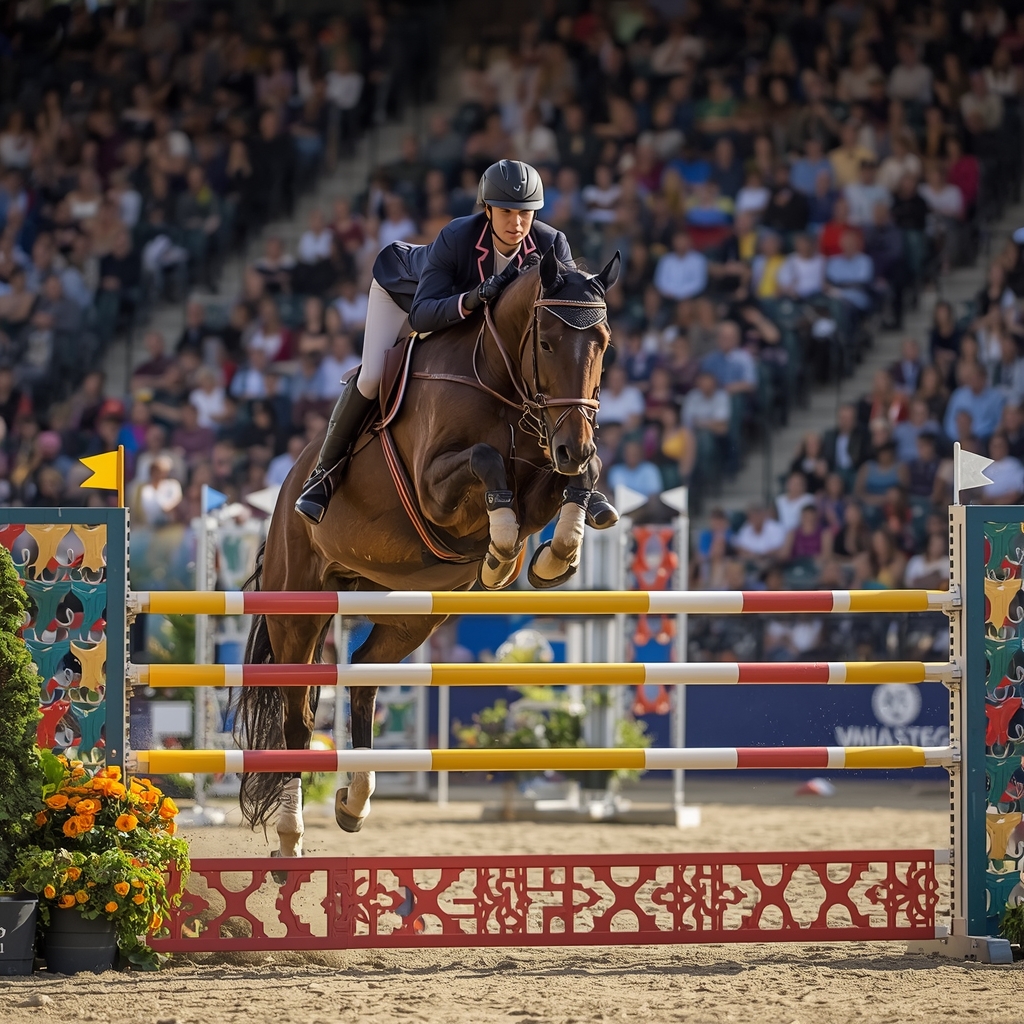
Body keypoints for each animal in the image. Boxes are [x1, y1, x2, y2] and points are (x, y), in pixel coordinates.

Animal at [235, 247, 619, 859]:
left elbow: (579, 478)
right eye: (547, 341)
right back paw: (292, 837)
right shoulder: (437, 491)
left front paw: (554, 556)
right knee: (297, 716)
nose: (572, 443)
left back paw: (354, 801)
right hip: (298, 606)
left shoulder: (546, 467)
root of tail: (286, 488)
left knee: (365, 673)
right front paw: (502, 553)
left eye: (602, 341)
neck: (502, 380)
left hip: (414, 607)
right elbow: (487, 460)